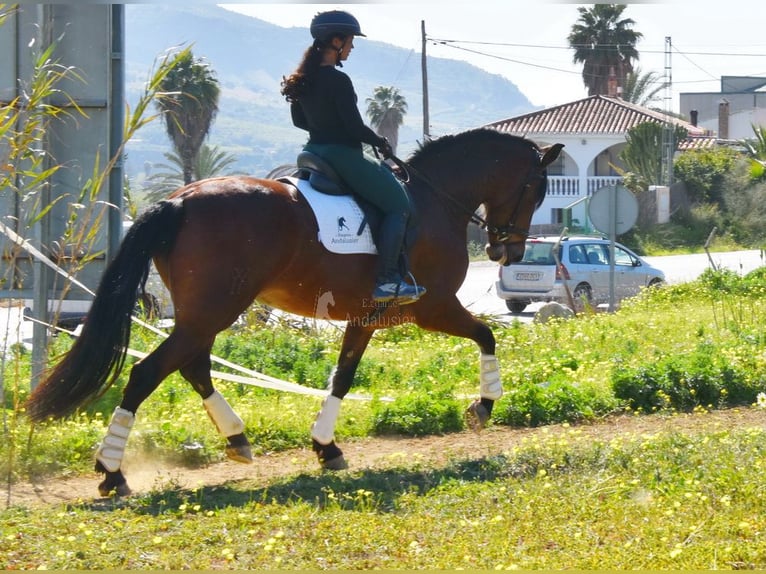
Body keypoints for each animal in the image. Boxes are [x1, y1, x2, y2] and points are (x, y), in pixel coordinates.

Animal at [27, 128, 564, 498]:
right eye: (538, 190)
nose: (510, 252)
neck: (433, 200)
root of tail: (180, 199)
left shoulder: (368, 317)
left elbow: (342, 376)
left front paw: (326, 447)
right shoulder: (432, 306)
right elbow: (487, 335)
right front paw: (484, 406)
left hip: (203, 314)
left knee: (193, 367)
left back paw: (237, 439)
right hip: (214, 311)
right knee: (148, 373)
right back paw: (112, 472)